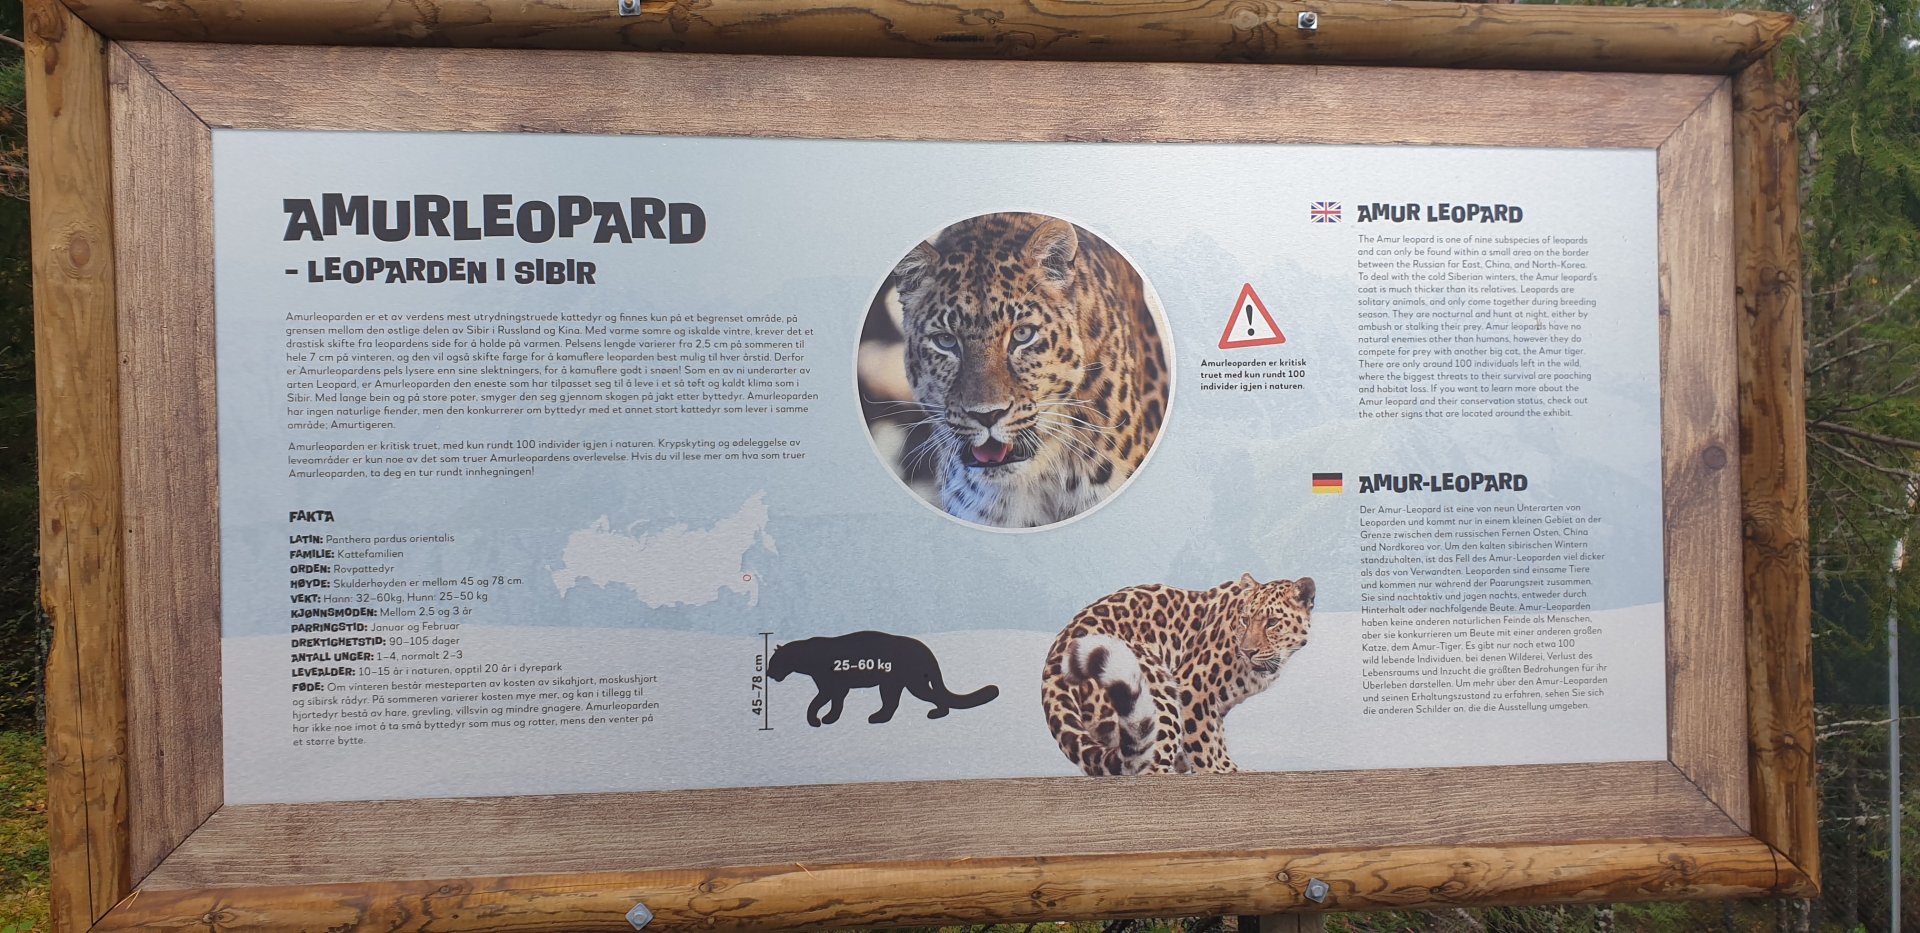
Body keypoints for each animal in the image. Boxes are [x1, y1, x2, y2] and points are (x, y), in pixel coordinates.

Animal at [1041, 574, 1315, 776]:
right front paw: (1224, 772)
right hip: (1157, 694)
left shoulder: (1214, 707)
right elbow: (1206, 746)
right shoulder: (1193, 691)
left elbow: (1213, 740)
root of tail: (1054, 663)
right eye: (1245, 620)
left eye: (1272, 622)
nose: (1248, 651)